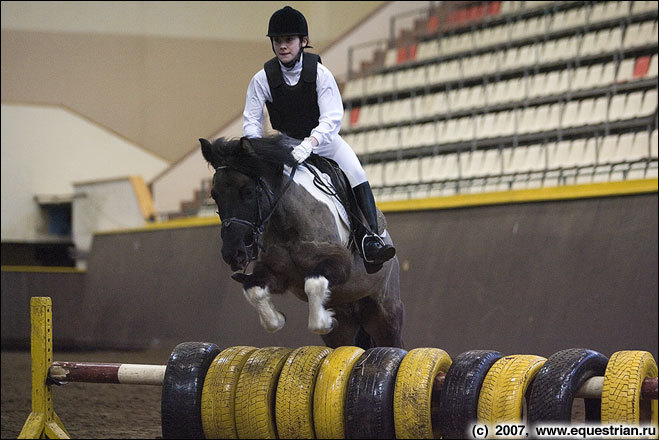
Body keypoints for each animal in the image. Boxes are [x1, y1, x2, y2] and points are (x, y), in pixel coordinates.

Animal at [200, 135, 403, 349]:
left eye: (248, 192)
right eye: (214, 195)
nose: (233, 253)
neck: (286, 226)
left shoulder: (340, 264)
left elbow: (313, 284)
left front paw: (324, 321)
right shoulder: (276, 274)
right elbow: (255, 290)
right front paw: (278, 318)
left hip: (386, 314)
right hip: (347, 324)